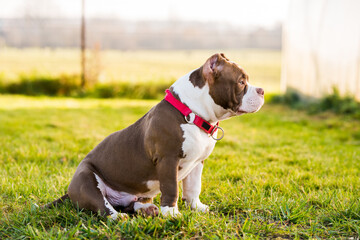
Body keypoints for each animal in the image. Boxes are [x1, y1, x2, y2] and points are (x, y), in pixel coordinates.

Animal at [45, 53, 264, 218]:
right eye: (241, 81)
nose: (262, 90)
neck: (192, 113)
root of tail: (68, 192)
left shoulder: (198, 162)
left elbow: (193, 187)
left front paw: (197, 207)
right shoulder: (168, 160)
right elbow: (171, 188)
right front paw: (172, 213)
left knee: (130, 204)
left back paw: (146, 208)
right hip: (87, 179)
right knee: (104, 207)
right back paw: (119, 217)